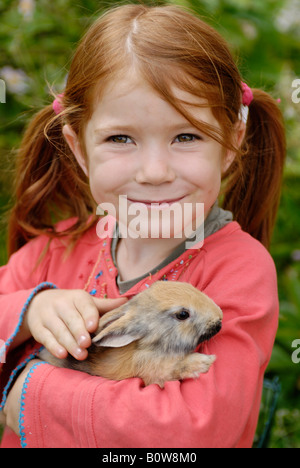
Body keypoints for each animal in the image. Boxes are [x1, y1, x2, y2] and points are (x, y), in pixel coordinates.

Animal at [38, 282, 221, 388]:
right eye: (182, 314)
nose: (219, 319)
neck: (147, 349)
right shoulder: (154, 374)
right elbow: (171, 369)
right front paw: (203, 362)